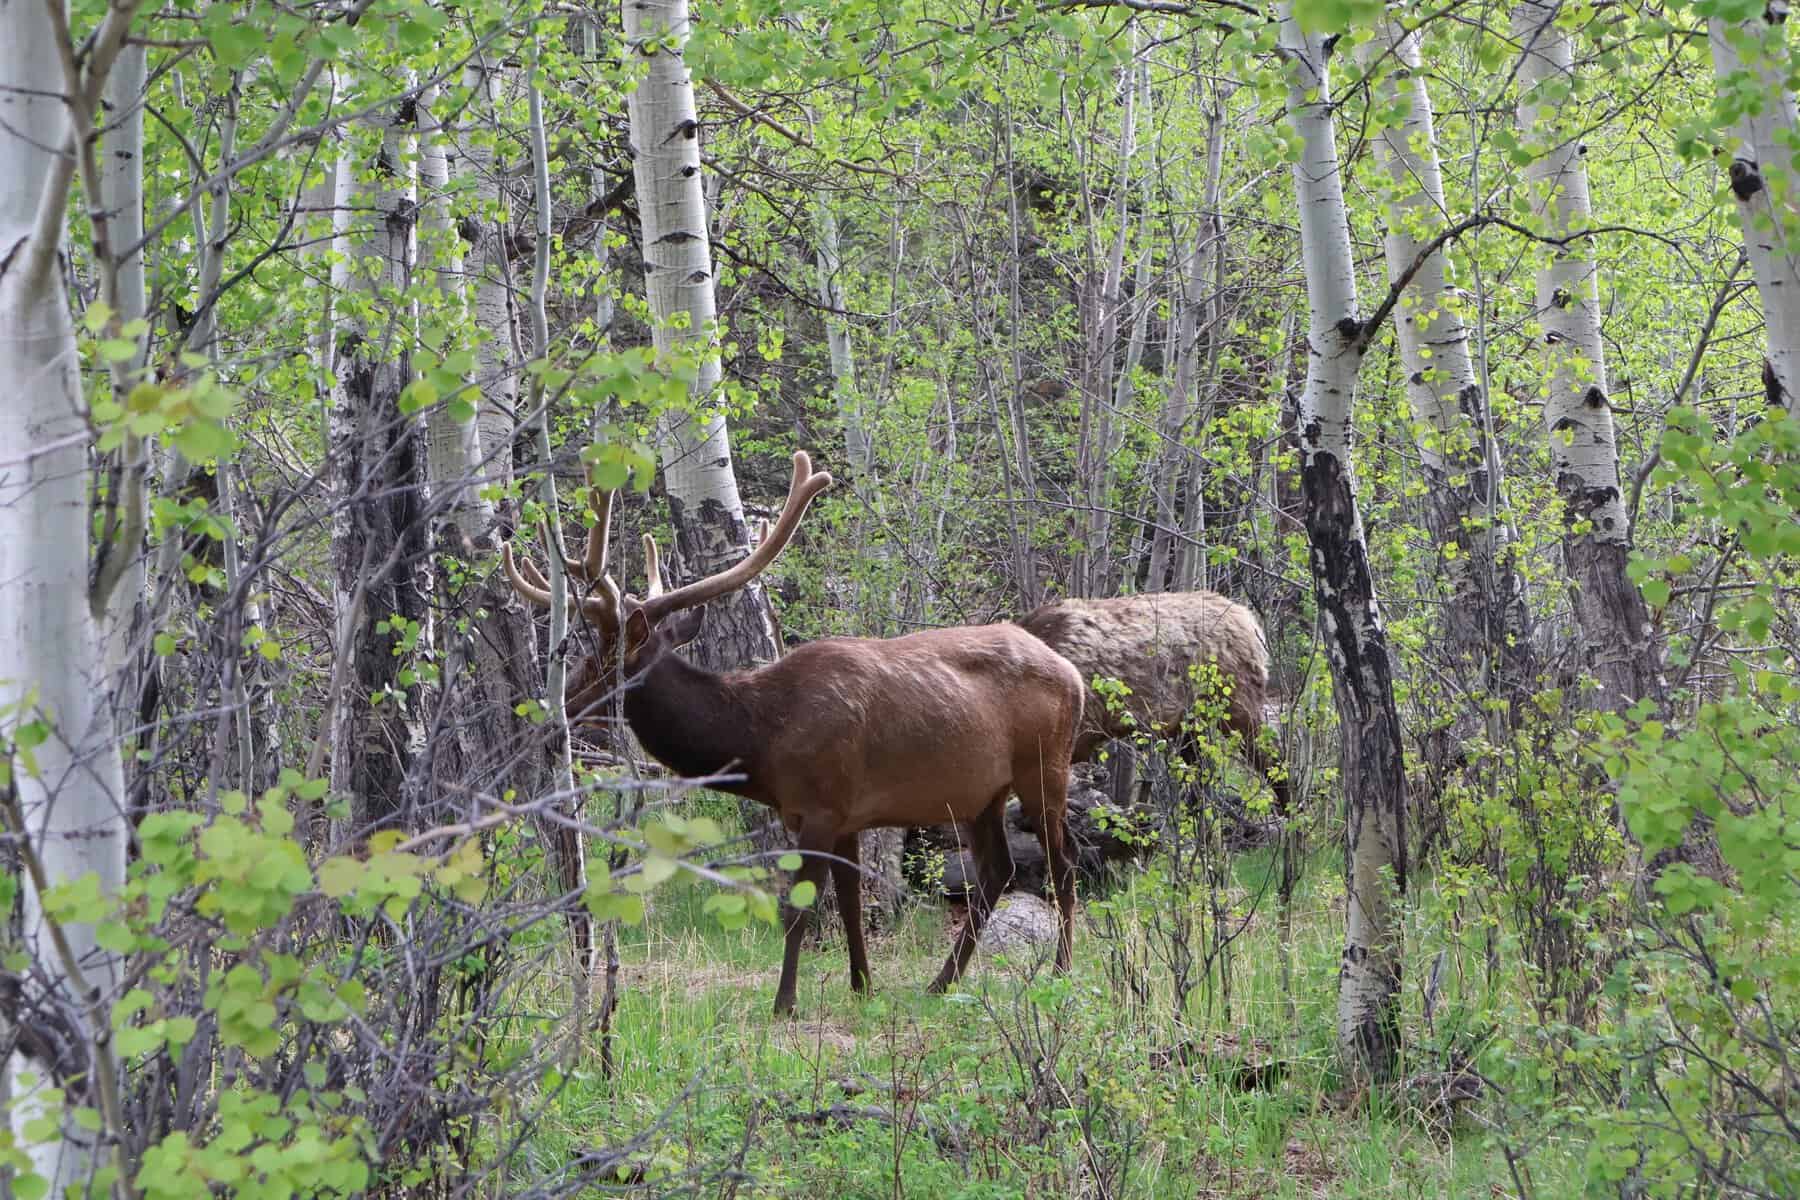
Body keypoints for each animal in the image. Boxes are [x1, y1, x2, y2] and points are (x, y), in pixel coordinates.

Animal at [503, 452, 1085, 1015]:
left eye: (602, 659)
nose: (552, 713)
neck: (761, 741)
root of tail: (1074, 676)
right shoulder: (844, 814)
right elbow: (850, 901)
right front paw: (861, 985)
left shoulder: (822, 804)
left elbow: (799, 908)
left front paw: (785, 1003)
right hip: (979, 793)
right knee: (997, 871)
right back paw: (942, 982)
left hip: (1045, 765)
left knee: (1062, 865)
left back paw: (1060, 970)